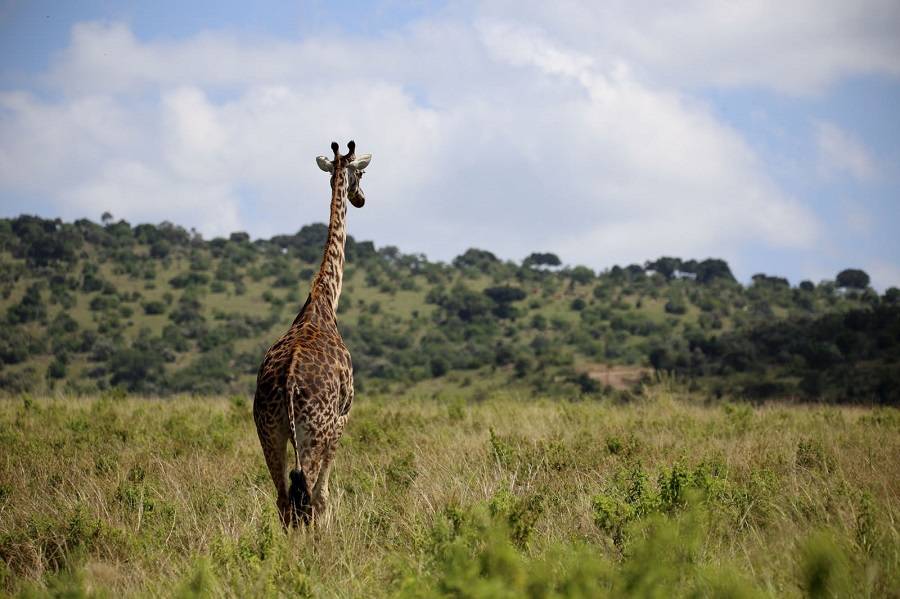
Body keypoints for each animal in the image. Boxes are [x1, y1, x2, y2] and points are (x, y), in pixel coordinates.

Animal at [251, 142, 370, 528]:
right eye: (362, 173)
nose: (360, 199)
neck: (324, 298)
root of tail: (288, 385)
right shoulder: (343, 419)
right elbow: (324, 495)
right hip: (315, 433)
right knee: (309, 498)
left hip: (268, 430)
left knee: (284, 500)